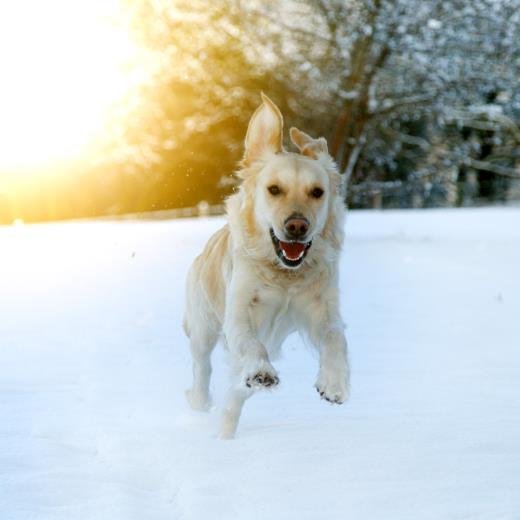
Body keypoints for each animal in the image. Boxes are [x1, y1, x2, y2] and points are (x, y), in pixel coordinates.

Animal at [183, 93, 350, 438]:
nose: (297, 226)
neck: (285, 273)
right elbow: (251, 345)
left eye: (317, 192)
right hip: (202, 326)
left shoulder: (323, 307)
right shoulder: (239, 311)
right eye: (274, 189)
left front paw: (334, 383)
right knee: (202, 368)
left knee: (235, 394)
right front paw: (261, 372)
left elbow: (335, 337)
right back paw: (203, 404)